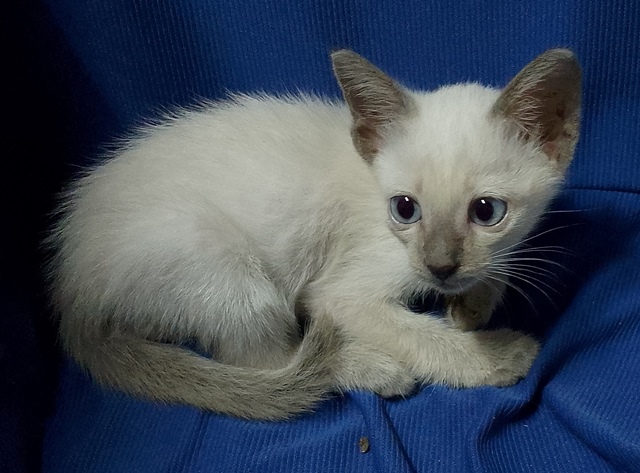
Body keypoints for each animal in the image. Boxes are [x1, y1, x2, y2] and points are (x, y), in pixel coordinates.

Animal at [47, 48, 581, 420]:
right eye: (404, 208)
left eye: (487, 212)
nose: (441, 267)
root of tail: (70, 285)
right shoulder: (339, 292)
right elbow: (415, 333)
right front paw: (496, 353)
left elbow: (497, 266)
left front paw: (472, 305)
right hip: (216, 258)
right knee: (265, 361)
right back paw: (373, 368)